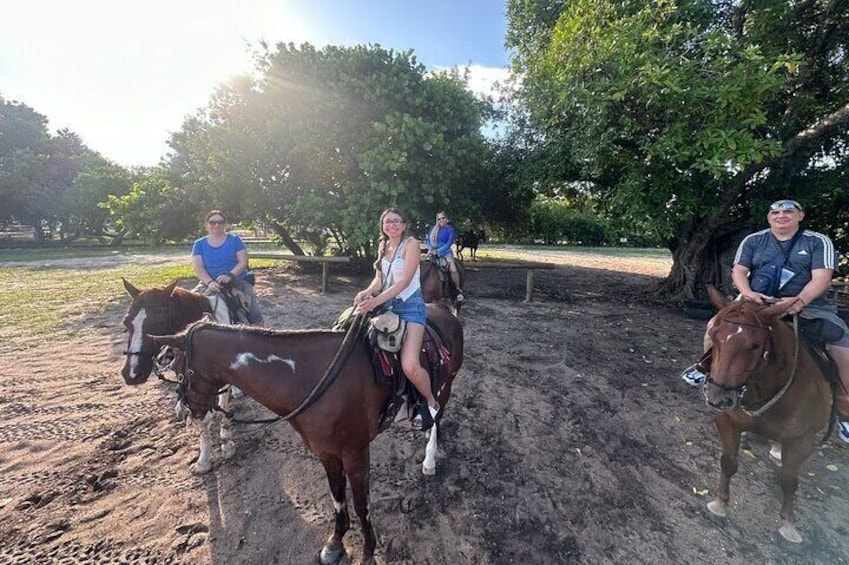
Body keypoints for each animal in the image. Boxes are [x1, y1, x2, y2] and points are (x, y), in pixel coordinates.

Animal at [119, 278, 235, 472]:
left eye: (158, 322)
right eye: (126, 323)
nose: (132, 373)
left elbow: (221, 410)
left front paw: (226, 444)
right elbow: (200, 420)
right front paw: (204, 460)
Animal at [149, 304, 460, 564]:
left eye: (178, 369)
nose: (184, 412)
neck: (313, 377)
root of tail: (444, 310)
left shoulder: (356, 453)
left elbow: (362, 505)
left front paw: (369, 552)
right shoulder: (327, 454)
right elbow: (337, 497)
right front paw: (335, 544)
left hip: (443, 389)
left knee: (436, 416)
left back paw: (429, 459)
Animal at [704, 286, 836, 540]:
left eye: (756, 345)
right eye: (715, 336)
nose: (717, 398)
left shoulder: (803, 440)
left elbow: (789, 480)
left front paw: (788, 525)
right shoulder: (726, 420)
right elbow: (728, 462)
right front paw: (720, 504)